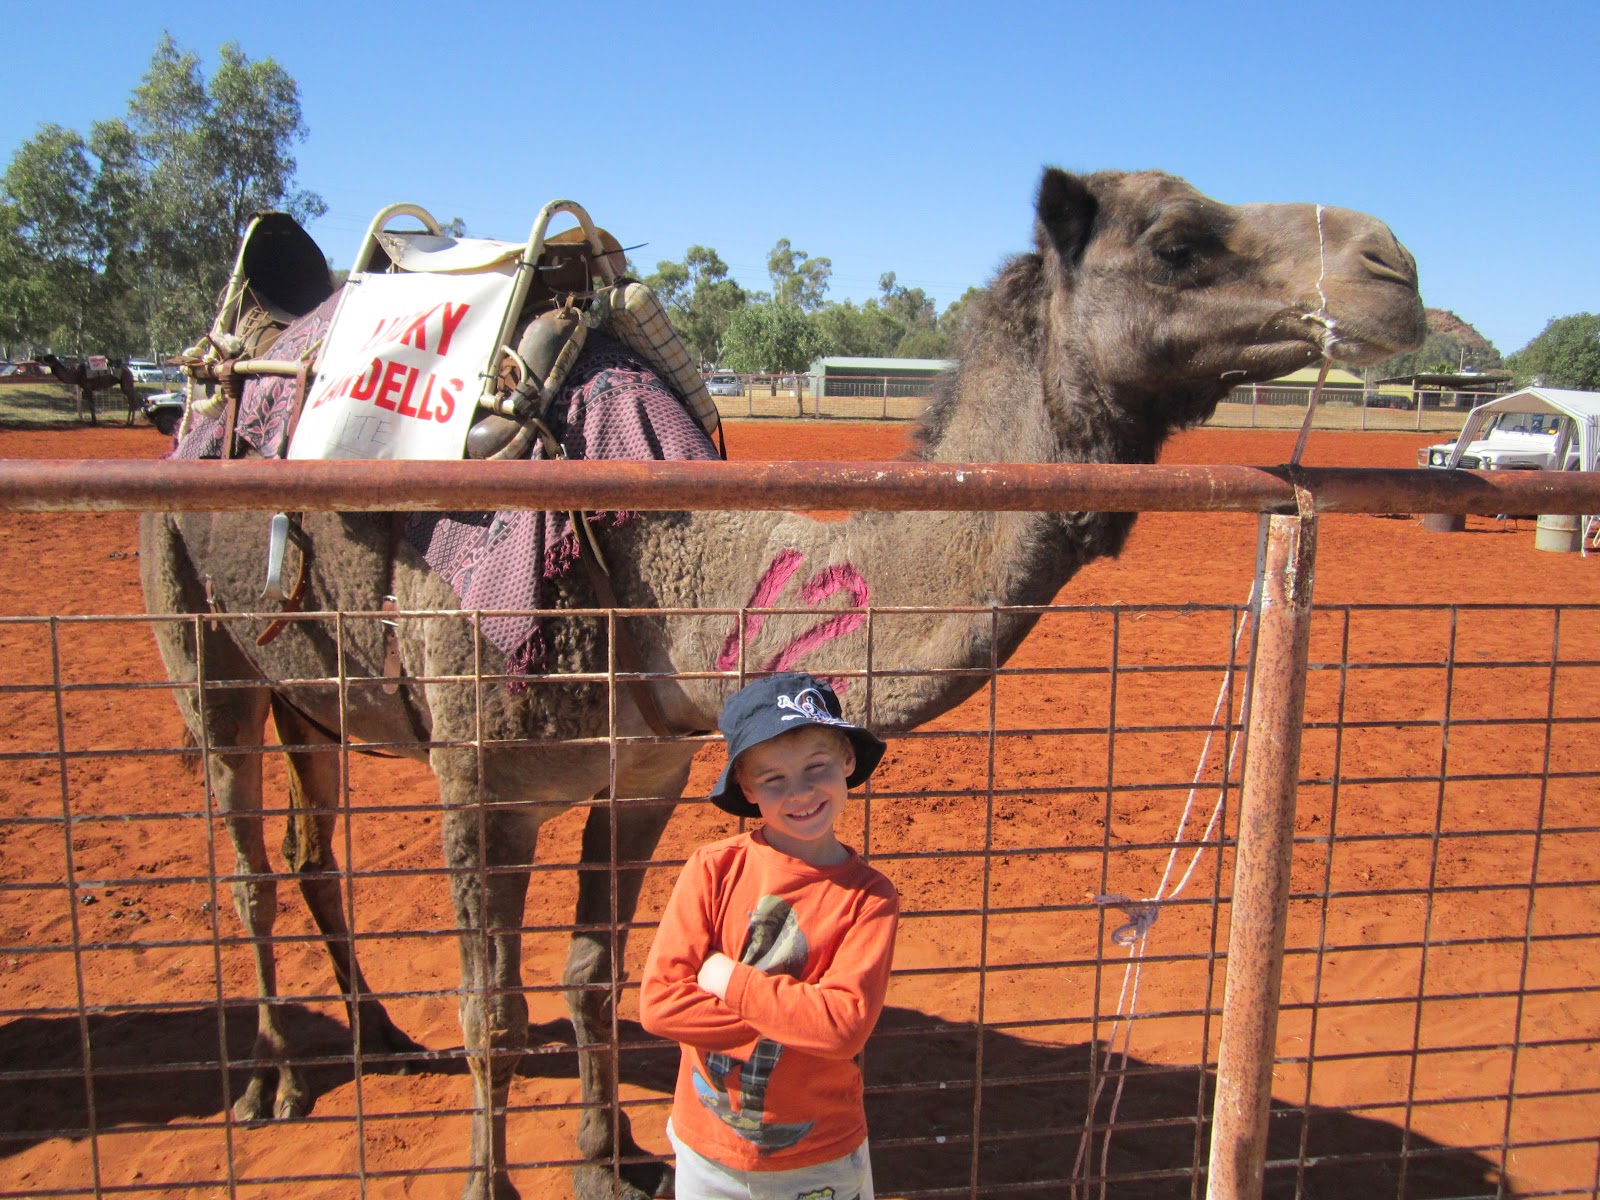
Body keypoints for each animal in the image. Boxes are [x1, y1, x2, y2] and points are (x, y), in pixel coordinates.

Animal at [138, 167, 1425, 1199]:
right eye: (1174, 240)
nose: (1393, 266)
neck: (647, 566)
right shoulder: (479, 776)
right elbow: (494, 1011)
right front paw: (491, 1182)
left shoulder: (645, 772)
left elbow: (593, 977)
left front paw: (609, 1161)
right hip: (195, 626)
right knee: (248, 863)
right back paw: (269, 1084)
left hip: (309, 693)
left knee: (310, 848)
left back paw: (380, 1038)